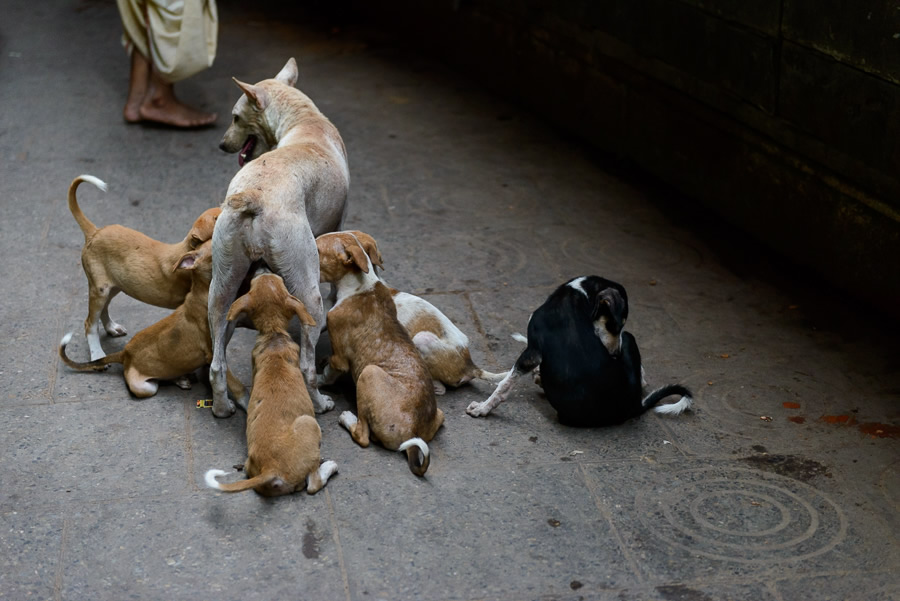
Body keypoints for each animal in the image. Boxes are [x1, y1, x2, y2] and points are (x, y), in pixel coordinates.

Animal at [59, 240, 246, 404]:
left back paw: (182, 378)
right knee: (160, 380)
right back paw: (180, 379)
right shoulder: (213, 350)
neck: (203, 291)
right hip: (145, 388)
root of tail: (125, 354)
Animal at [67, 173, 221, 360]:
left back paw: (111, 327)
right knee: (90, 323)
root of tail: (94, 232)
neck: (186, 249)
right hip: (100, 288)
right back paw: (97, 354)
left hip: (115, 285)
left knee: (103, 309)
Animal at [204, 274, 338, 496]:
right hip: (308, 423)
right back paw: (329, 466)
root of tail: (270, 469)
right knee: (313, 484)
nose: (261, 271)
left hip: (250, 465)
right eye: (282, 282)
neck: (273, 334)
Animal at [314, 232, 444, 476]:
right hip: (439, 414)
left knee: (363, 437)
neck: (359, 285)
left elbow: (327, 374)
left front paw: (317, 380)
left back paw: (348, 418)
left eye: (316, 250)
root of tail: (412, 433)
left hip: (368, 373)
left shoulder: (340, 359)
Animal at [468, 276, 692, 426]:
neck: (580, 292)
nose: (615, 355)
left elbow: (504, 385)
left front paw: (483, 408)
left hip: (630, 338)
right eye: (614, 325)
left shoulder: (531, 352)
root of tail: (634, 406)